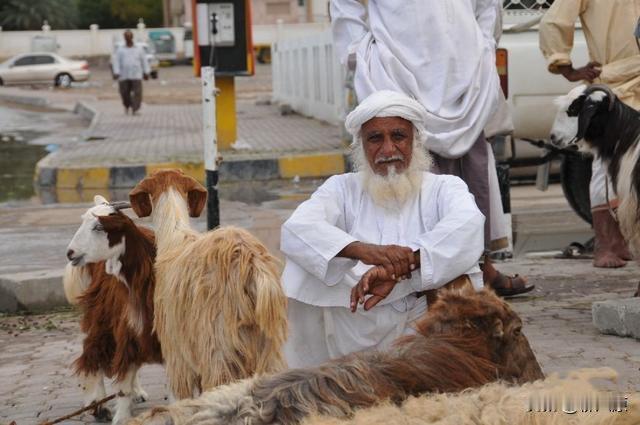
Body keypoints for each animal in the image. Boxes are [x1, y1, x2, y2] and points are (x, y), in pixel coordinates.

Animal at [65, 196, 162, 424]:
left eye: (99, 226)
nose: (70, 253)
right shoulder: (125, 321)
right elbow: (123, 371)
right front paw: (119, 415)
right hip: (101, 313)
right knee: (94, 351)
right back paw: (99, 404)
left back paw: (137, 392)